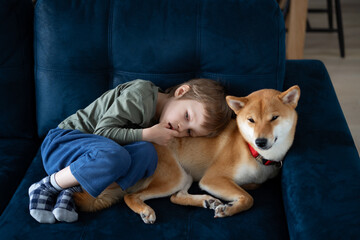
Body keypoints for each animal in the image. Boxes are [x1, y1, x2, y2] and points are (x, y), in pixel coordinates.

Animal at [72, 85, 298, 224]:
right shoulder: (213, 179)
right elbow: (249, 198)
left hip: (186, 176)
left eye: (274, 118)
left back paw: (206, 201)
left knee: (175, 197)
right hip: (175, 176)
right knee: (131, 195)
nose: (261, 141)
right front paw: (230, 209)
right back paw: (145, 210)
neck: (253, 152)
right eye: (251, 120)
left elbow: (251, 187)